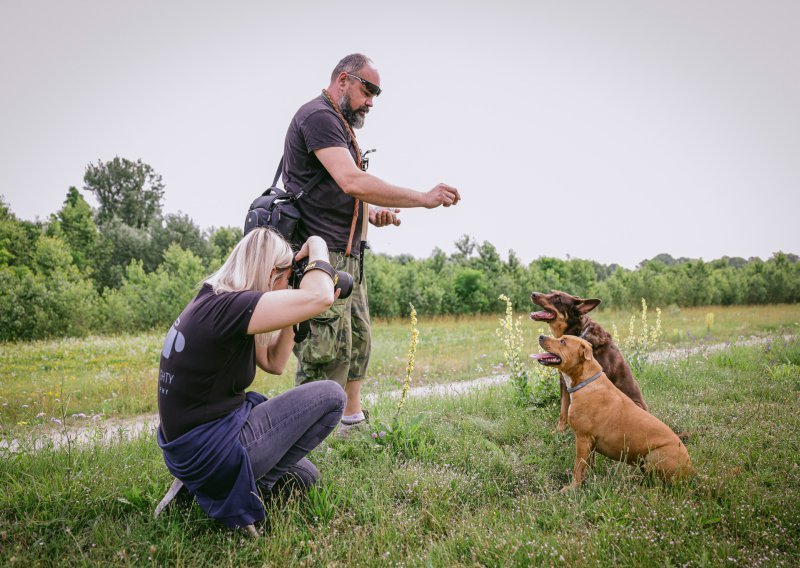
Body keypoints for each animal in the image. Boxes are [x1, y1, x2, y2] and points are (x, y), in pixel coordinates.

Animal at [528, 292, 648, 430]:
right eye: (550, 291)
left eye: (557, 297)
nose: (533, 294)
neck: (577, 333)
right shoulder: (564, 382)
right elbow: (563, 409)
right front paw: (560, 430)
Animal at [532, 336, 692, 490]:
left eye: (563, 341)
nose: (541, 336)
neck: (586, 382)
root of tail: (691, 469)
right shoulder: (590, 442)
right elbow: (588, 464)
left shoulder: (582, 438)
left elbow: (578, 466)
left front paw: (573, 487)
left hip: (654, 456)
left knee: (659, 485)